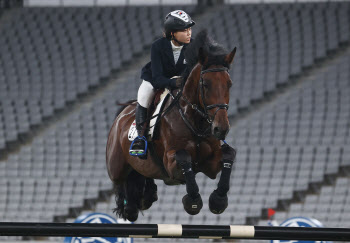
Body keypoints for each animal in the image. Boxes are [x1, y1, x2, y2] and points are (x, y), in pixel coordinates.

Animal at [106, 29, 237, 221]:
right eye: (205, 84)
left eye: (229, 84)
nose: (221, 129)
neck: (195, 122)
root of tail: (121, 117)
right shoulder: (170, 161)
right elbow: (184, 157)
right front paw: (193, 201)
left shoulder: (210, 165)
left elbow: (229, 154)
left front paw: (218, 200)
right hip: (116, 167)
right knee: (121, 183)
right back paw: (130, 204)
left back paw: (147, 195)